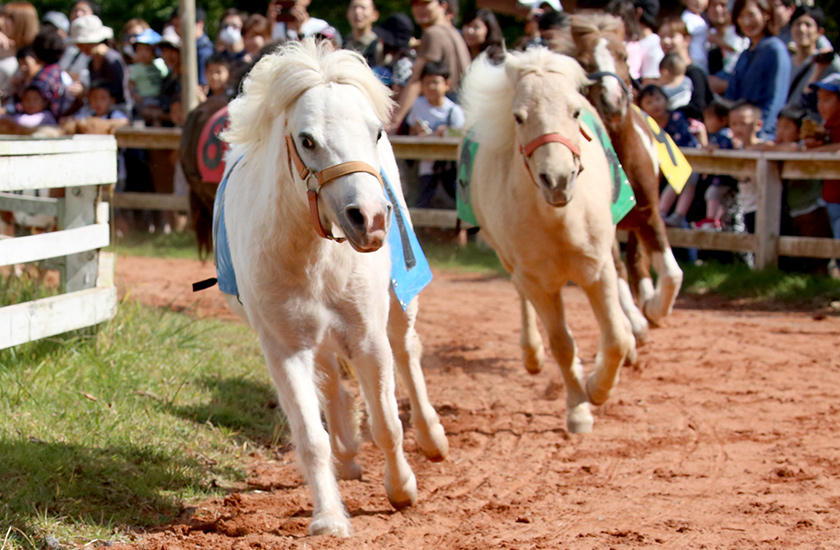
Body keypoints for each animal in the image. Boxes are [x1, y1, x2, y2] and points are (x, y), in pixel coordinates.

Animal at [220, 40, 450, 540]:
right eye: (307, 139)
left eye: (376, 131)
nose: (370, 218)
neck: (314, 256)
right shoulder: (284, 348)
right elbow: (311, 436)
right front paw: (328, 517)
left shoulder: (367, 337)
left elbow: (387, 422)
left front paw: (402, 489)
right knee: (329, 382)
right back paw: (346, 456)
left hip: (397, 307)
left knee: (407, 352)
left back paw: (432, 437)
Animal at [460, 48, 636, 436]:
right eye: (519, 116)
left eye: (575, 111)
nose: (557, 179)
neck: (559, 220)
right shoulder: (537, 281)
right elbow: (562, 345)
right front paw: (580, 408)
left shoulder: (596, 269)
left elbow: (615, 337)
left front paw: (599, 388)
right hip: (510, 261)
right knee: (520, 294)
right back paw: (532, 354)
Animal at [560, 12, 680, 330]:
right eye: (585, 63)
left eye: (625, 55)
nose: (613, 102)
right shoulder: (604, 225)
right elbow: (616, 269)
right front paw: (636, 322)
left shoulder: (649, 212)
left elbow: (672, 272)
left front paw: (653, 308)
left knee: (638, 259)